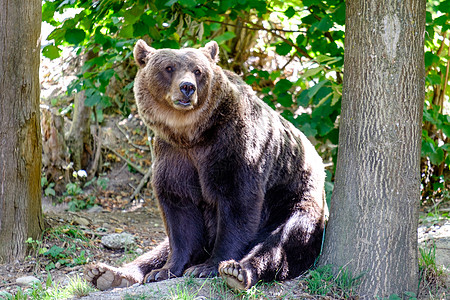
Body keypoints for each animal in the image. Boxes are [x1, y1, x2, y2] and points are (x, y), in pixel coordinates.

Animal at [84, 39, 326, 290]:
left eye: (198, 71)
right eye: (169, 67)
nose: (187, 87)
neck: (192, 134)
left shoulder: (231, 147)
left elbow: (237, 203)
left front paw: (207, 267)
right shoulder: (174, 156)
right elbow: (179, 213)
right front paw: (165, 270)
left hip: (295, 201)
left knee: (282, 240)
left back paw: (238, 271)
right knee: (158, 249)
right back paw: (107, 273)